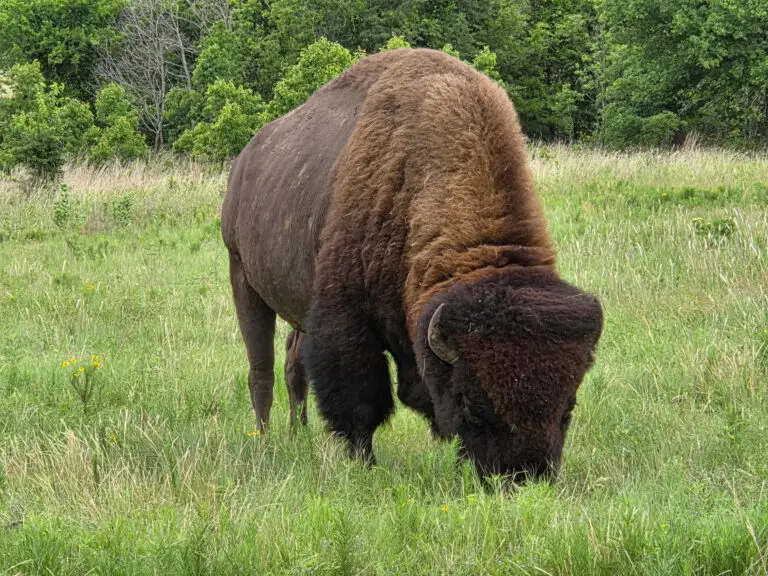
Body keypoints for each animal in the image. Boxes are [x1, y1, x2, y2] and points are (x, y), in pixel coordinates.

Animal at [222, 48, 603, 481]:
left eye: (568, 405)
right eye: (471, 404)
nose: (524, 476)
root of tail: (243, 164)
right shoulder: (347, 319)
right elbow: (362, 402)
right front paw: (366, 466)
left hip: (299, 305)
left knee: (293, 365)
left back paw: (298, 436)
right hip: (243, 278)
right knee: (262, 370)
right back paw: (266, 441)